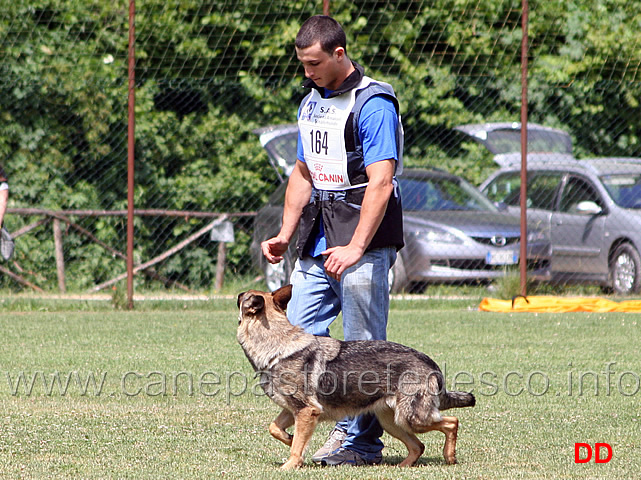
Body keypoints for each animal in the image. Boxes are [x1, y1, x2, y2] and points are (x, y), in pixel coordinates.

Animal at [236, 284, 476, 468]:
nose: (238, 294)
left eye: (241, 297)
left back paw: (449, 457)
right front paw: (290, 438)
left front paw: (290, 465)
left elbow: (296, 449)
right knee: (418, 446)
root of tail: (429, 361)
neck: (276, 344)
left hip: (412, 418)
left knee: (451, 422)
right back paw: (403, 466)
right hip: (393, 422)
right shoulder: (293, 410)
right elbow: (275, 428)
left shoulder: (306, 411)